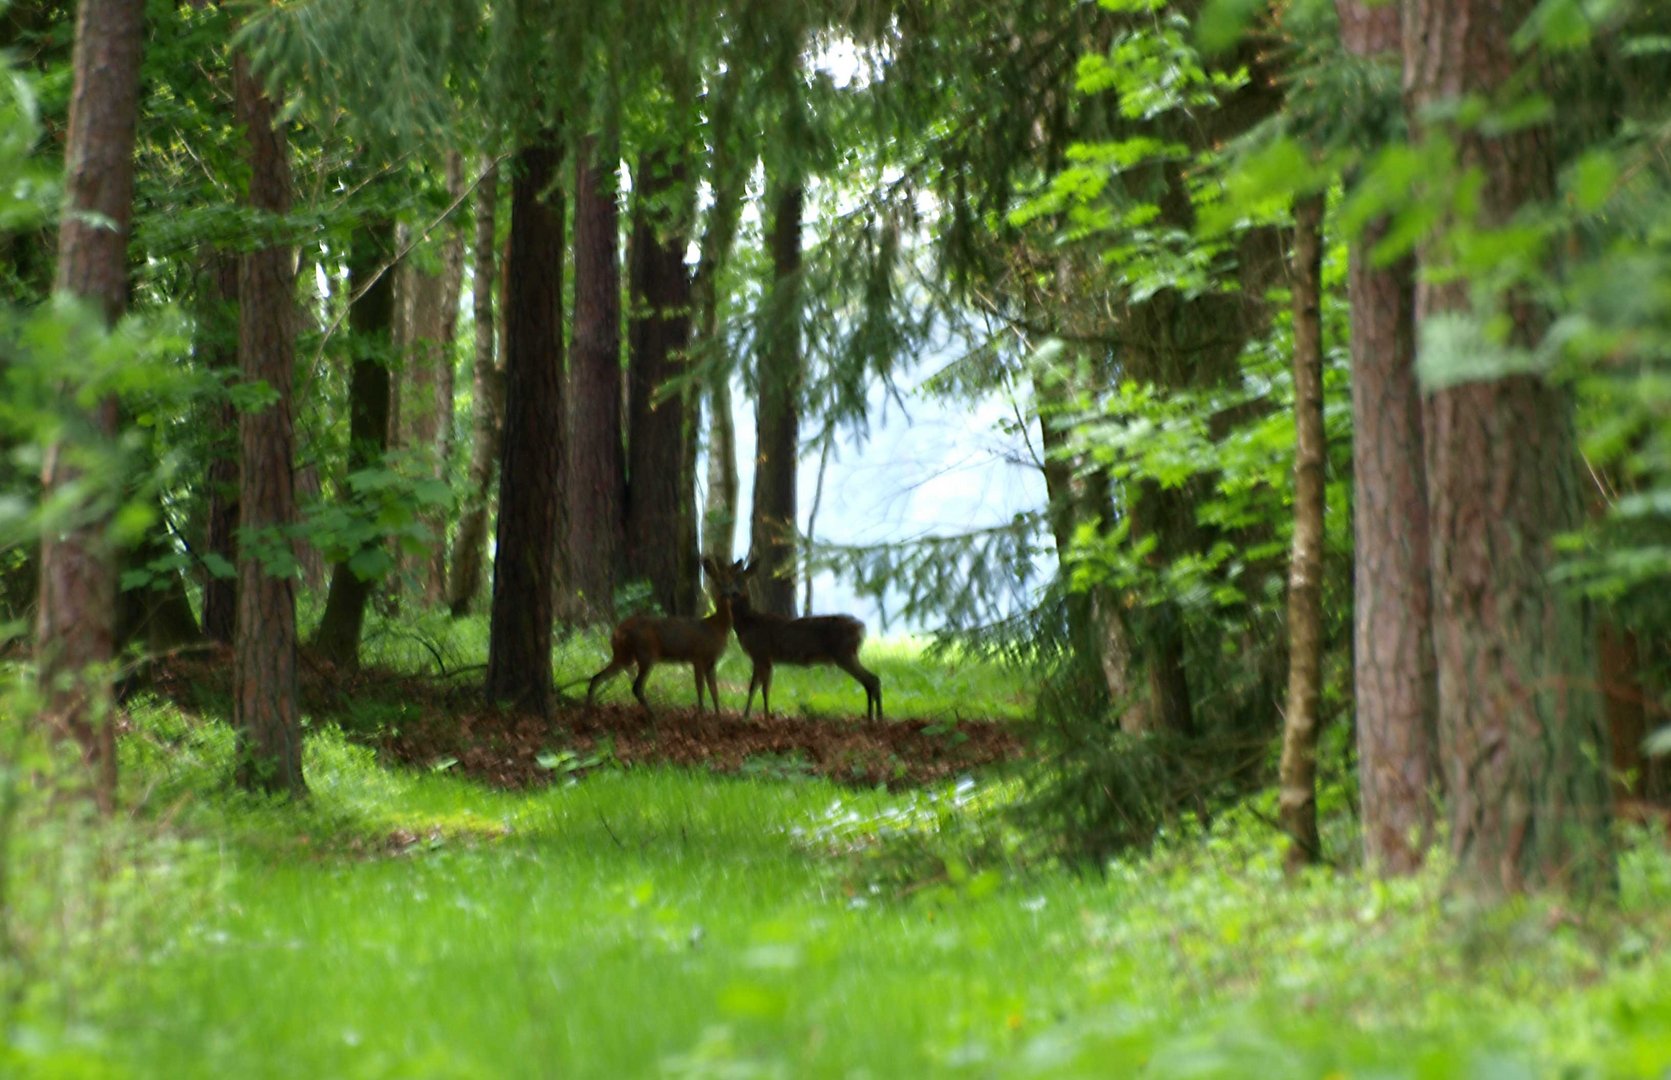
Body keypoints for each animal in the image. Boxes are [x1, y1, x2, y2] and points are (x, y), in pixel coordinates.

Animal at [588, 558, 731, 718]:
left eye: (731, 581)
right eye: (718, 582)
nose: (727, 593)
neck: (716, 627)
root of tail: (617, 631)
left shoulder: (711, 660)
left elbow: (714, 689)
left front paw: (717, 715)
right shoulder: (698, 656)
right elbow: (700, 687)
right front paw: (701, 713)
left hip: (624, 655)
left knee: (596, 677)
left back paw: (588, 708)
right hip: (646, 652)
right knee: (636, 687)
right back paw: (653, 715)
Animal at [715, 561, 882, 722]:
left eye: (741, 581)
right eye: (727, 580)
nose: (730, 593)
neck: (748, 623)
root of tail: (862, 628)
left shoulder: (761, 654)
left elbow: (760, 688)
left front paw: (760, 717)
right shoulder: (762, 658)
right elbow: (756, 687)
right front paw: (750, 716)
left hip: (844, 653)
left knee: (872, 679)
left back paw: (877, 717)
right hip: (848, 654)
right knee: (870, 680)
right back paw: (871, 716)